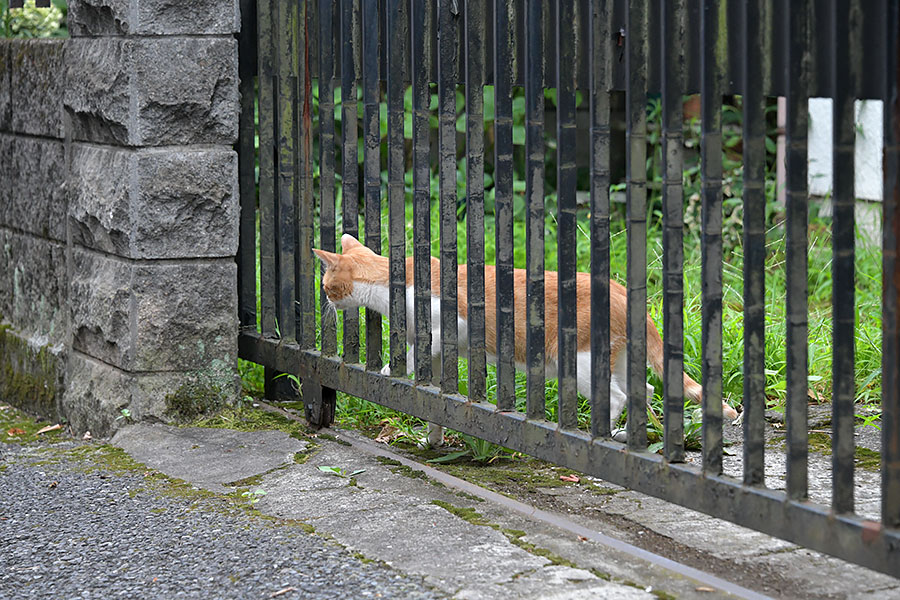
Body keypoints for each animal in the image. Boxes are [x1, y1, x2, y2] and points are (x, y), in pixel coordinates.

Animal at [316, 237, 740, 442]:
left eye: (324, 286)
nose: (324, 300)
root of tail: (621, 290)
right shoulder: (438, 356)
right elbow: (434, 398)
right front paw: (432, 440)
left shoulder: (445, 326)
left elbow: (411, 349)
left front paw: (390, 367)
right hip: (614, 357)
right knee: (644, 392)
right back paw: (625, 434)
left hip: (582, 361)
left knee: (617, 397)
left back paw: (602, 433)